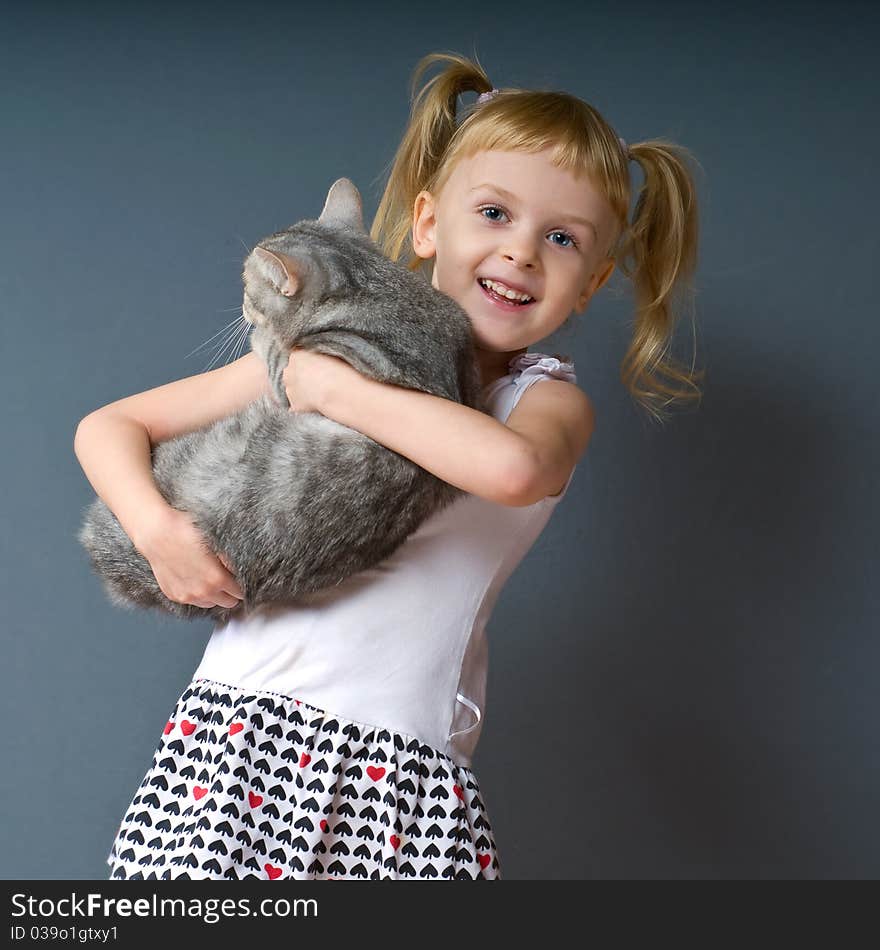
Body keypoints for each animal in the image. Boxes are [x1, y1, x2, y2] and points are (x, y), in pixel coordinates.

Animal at [76, 178, 484, 624]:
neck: (381, 295)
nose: (240, 304)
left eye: (246, 285)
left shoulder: (290, 373)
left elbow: (272, 348)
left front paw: (263, 334)